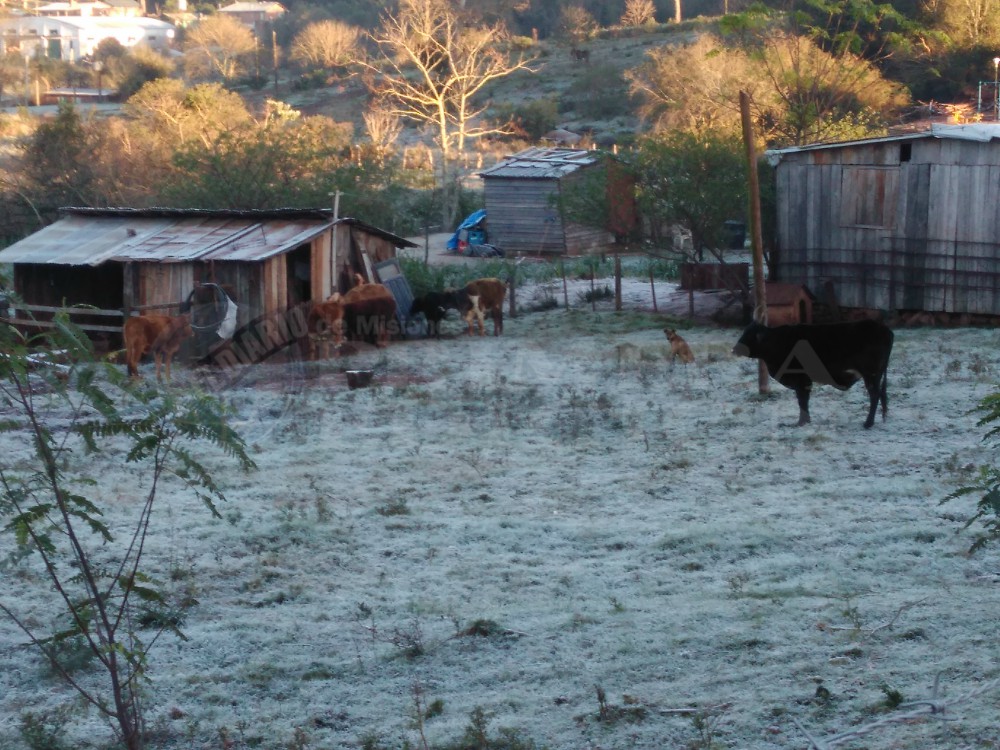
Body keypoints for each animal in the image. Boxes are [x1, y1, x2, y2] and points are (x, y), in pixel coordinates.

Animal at [732, 319, 893, 428]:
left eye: (749, 335)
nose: (734, 349)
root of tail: (883, 328)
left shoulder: (802, 380)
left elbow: (802, 401)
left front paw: (802, 422)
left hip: (871, 375)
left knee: (875, 396)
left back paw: (868, 423)